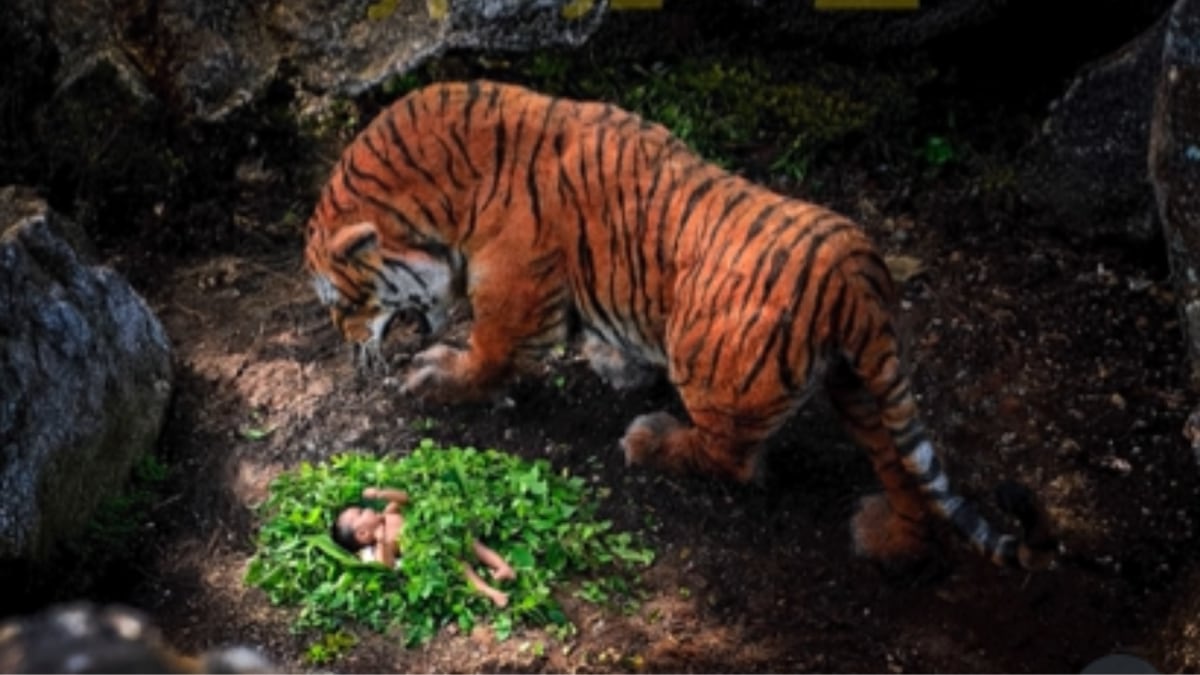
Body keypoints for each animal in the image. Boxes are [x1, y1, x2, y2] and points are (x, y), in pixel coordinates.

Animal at [303, 80, 1057, 572]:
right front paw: (617, 362)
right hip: (860, 382)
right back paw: (886, 534)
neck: (443, 192)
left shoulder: (513, 300)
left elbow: (488, 356)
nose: (345, 344)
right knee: (905, 473)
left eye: (340, 302)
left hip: (711, 359)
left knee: (735, 458)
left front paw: (434, 378)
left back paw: (651, 439)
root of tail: (856, 279)